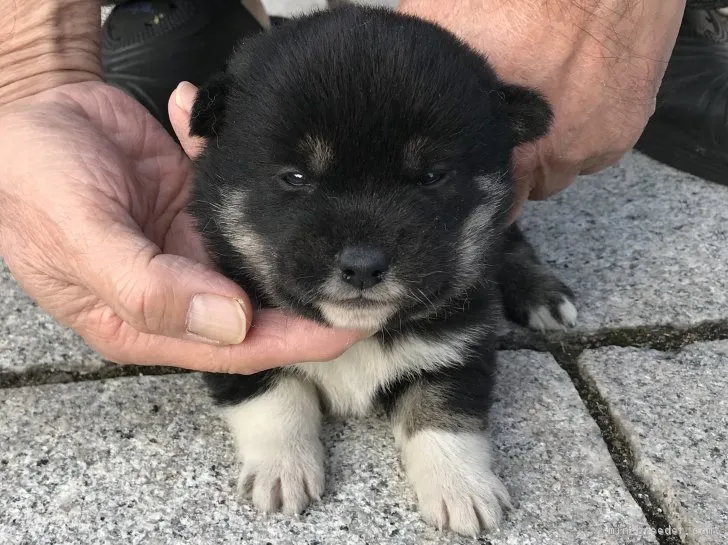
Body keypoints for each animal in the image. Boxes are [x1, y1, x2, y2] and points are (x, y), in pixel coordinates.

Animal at [186, 5, 576, 536]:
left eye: (431, 177)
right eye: (295, 177)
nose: (363, 267)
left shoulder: (460, 341)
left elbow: (444, 414)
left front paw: (462, 488)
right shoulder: (233, 340)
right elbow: (274, 398)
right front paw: (282, 470)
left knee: (512, 242)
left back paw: (543, 294)